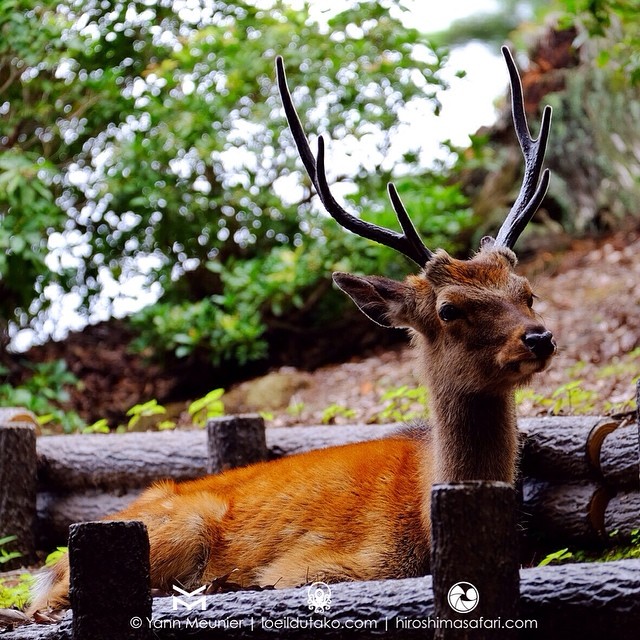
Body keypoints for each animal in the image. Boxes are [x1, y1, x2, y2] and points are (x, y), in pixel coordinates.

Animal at [28, 47, 556, 612]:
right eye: (449, 310)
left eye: (527, 292)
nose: (539, 337)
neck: (425, 512)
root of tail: (54, 560)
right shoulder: (317, 566)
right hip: (176, 530)